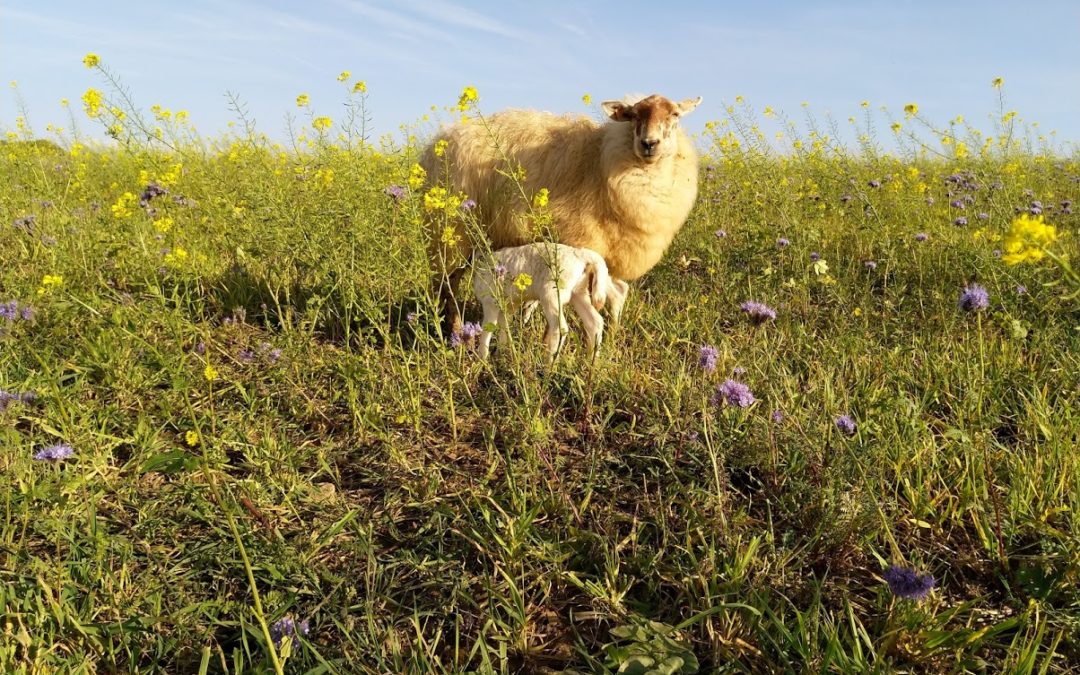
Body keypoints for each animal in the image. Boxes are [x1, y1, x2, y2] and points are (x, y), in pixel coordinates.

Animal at [421, 90, 699, 332]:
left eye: (674, 114)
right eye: (633, 115)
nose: (649, 143)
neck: (600, 159)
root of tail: (440, 139)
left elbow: (617, 294)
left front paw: (613, 333)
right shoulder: (582, 242)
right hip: (451, 234)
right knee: (446, 283)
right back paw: (455, 330)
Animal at [475, 240, 630, 360]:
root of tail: (581, 255)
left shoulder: (490, 302)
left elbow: (487, 329)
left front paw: (482, 359)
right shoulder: (508, 306)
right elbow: (504, 326)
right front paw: (502, 353)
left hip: (552, 294)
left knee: (561, 327)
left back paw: (549, 364)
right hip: (579, 293)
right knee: (595, 322)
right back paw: (591, 362)